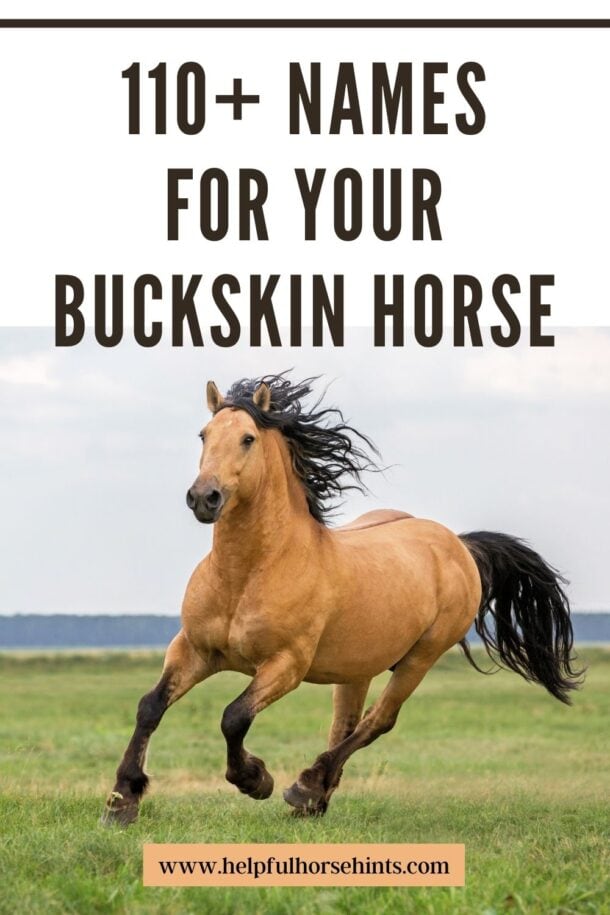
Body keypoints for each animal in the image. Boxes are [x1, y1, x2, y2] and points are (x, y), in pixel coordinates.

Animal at [102, 374, 582, 825]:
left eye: (248, 438)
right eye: (203, 435)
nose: (204, 497)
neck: (248, 574)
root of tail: (458, 544)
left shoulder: (286, 665)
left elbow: (233, 716)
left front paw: (255, 779)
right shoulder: (194, 650)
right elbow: (150, 707)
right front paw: (122, 801)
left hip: (420, 657)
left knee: (377, 722)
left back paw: (305, 787)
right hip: (357, 668)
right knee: (345, 725)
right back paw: (314, 800)